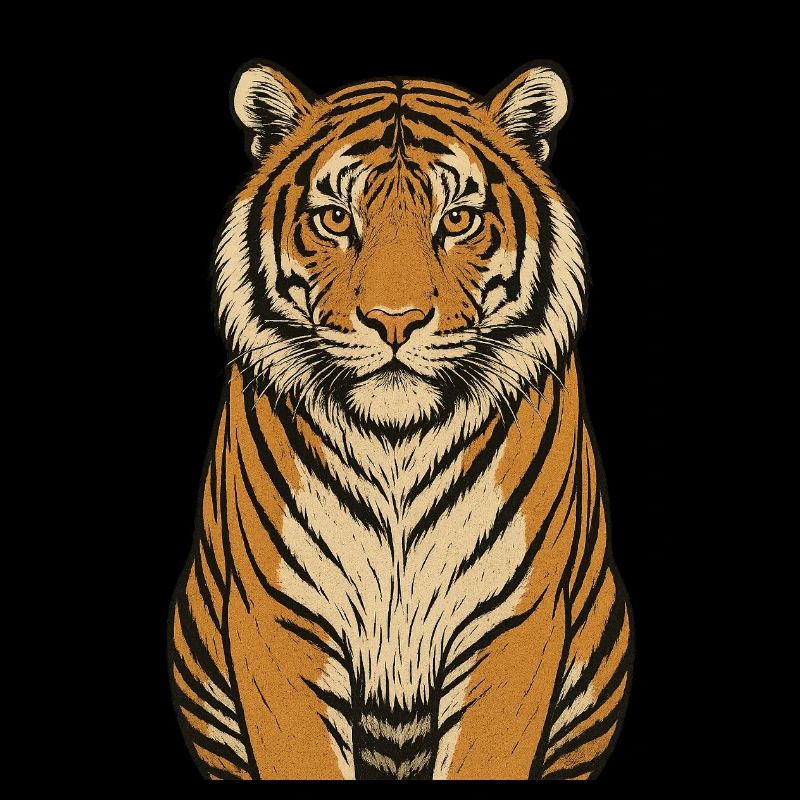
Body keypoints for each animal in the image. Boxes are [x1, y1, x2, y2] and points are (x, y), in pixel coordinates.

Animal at [169, 60, 633, 781]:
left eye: (459, 219)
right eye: (335, 219)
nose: (394, 321)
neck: (397, 445)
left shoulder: (510, 623)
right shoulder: (282, 619)